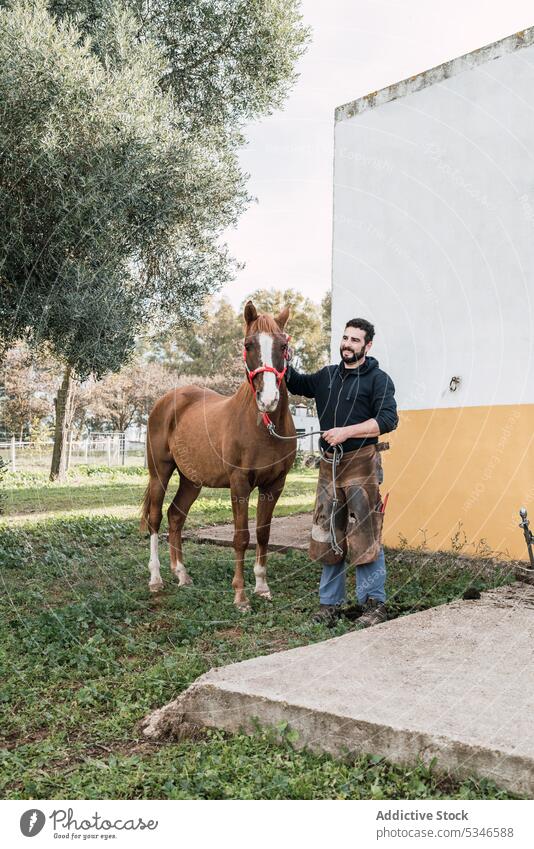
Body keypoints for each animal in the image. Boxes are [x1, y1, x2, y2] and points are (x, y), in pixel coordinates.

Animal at [140, 302, 300, 608]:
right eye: (248, 345)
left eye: (284, 345)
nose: (268, 399)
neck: (263, 425)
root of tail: (166, 401)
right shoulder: (239, 484)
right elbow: (241, 537)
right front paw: (240, 595)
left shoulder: (274, 485)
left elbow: (263, 534)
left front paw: (262, 587)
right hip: (160, 473)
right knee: (155, 519)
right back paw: (155, 579)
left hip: (192, 481)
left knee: (175, 516)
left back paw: (181, 574)